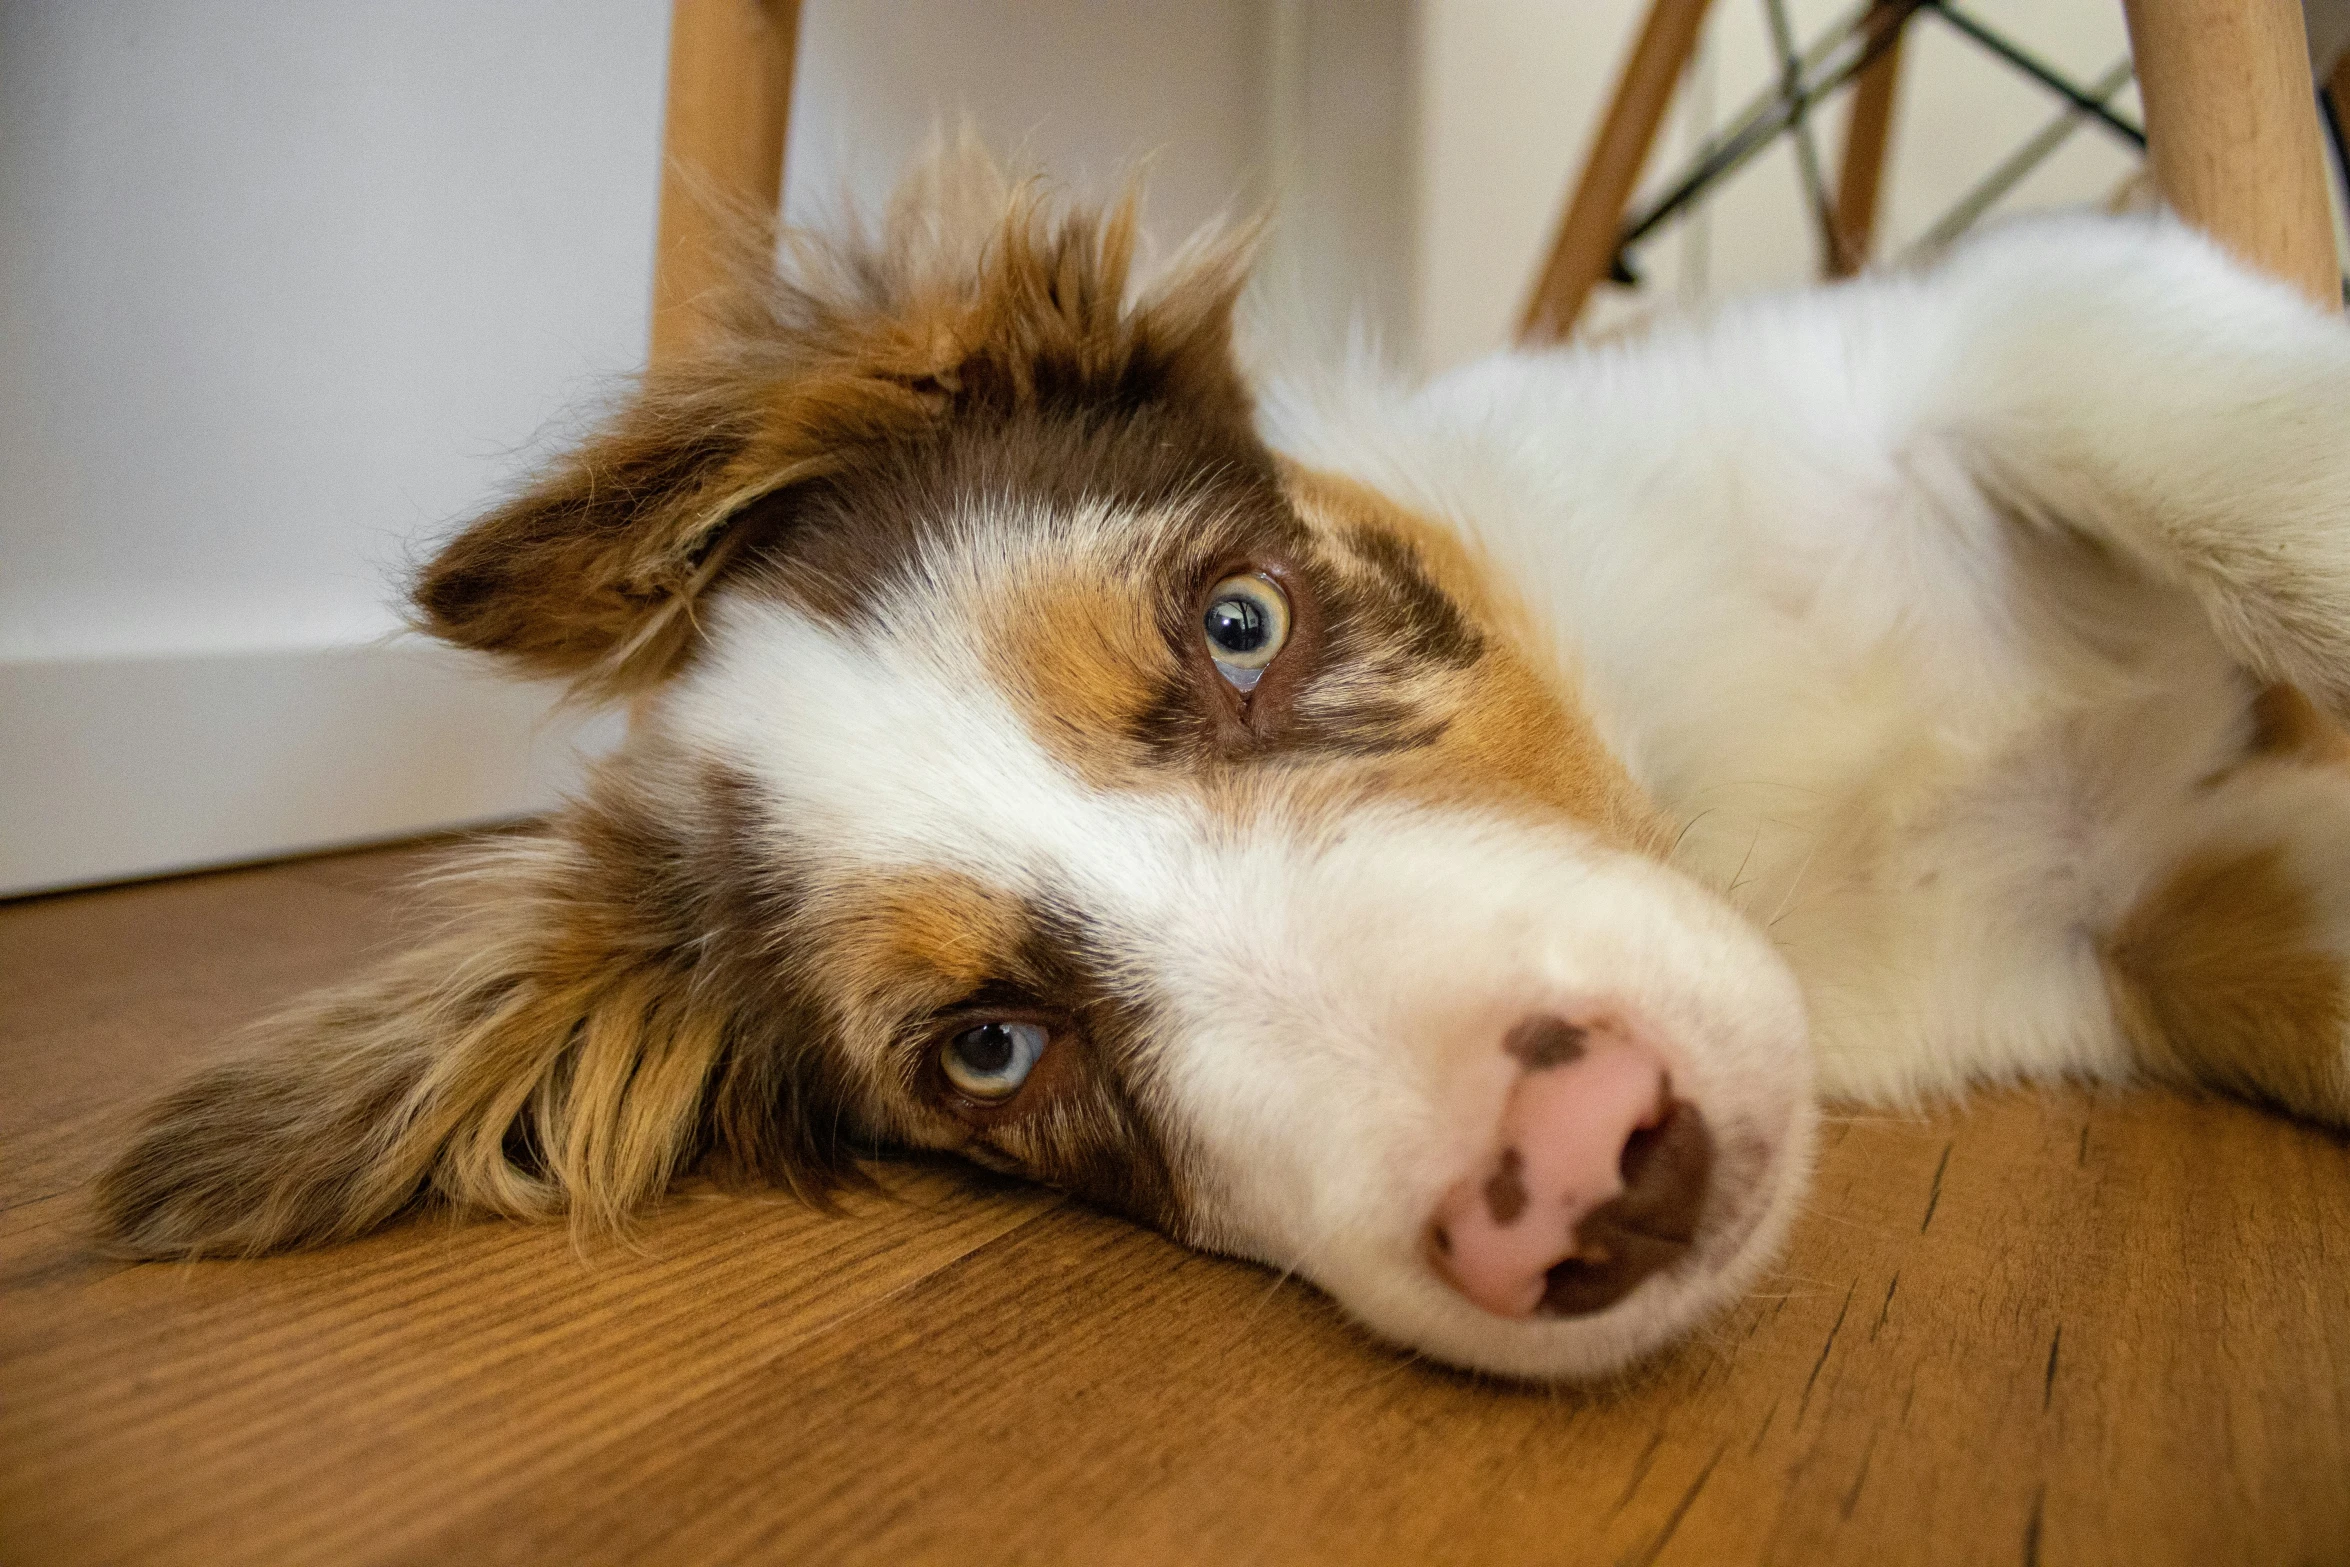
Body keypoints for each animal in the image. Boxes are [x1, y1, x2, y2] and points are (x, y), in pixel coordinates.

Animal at [91, 152, 2350, 1381]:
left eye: (1240, 626)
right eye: (990, 1051)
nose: (1580, 1175)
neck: (1713, 778)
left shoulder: (1983, 325)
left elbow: (2246, 470)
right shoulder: (2142, 909)